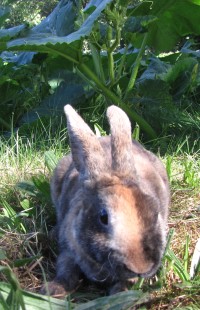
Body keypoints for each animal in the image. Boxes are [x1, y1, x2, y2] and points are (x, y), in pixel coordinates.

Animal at [41, 104, 169, 296]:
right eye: (103, 217)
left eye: (155, 212)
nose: (140, 266)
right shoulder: (68, 252)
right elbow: (65, 271)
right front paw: (52, 290)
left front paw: (121, 293)